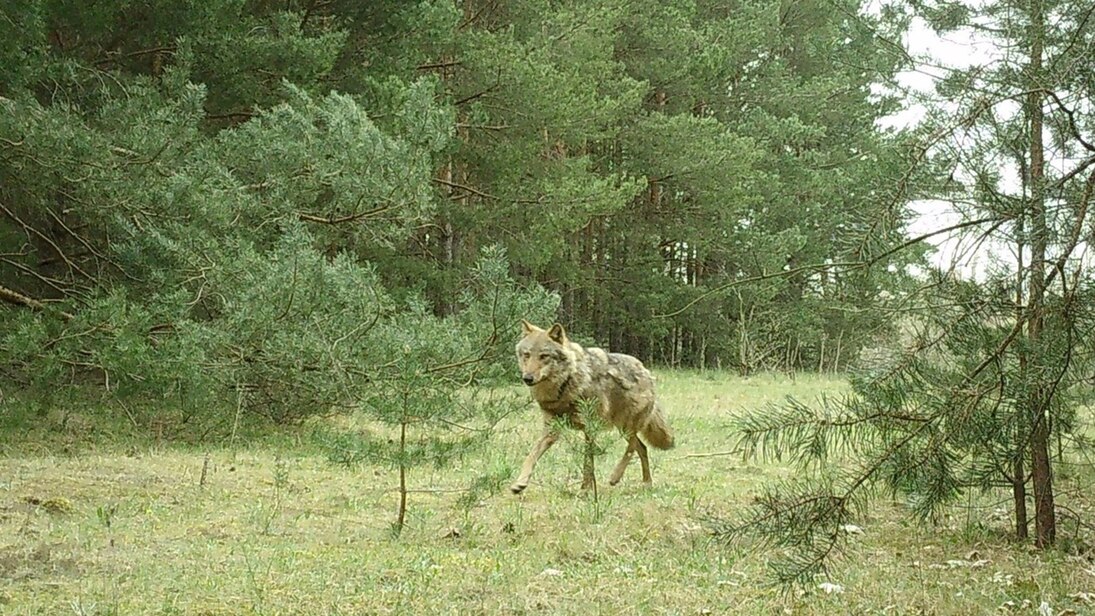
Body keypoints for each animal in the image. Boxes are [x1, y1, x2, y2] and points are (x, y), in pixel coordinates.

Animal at [511, 320, 674, 494]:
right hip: (623, 428)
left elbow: (587, 462)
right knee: (642, 448)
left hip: (627, 426)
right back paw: (647, 483)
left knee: (631, 448)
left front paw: (585, 490)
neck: (566, 385)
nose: (527, 378)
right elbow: (531, 455)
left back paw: (616, 476)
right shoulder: (551, 430)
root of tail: (646, 370)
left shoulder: (590, 427)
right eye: (527, 355)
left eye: (544, 356)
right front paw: (520, 483)